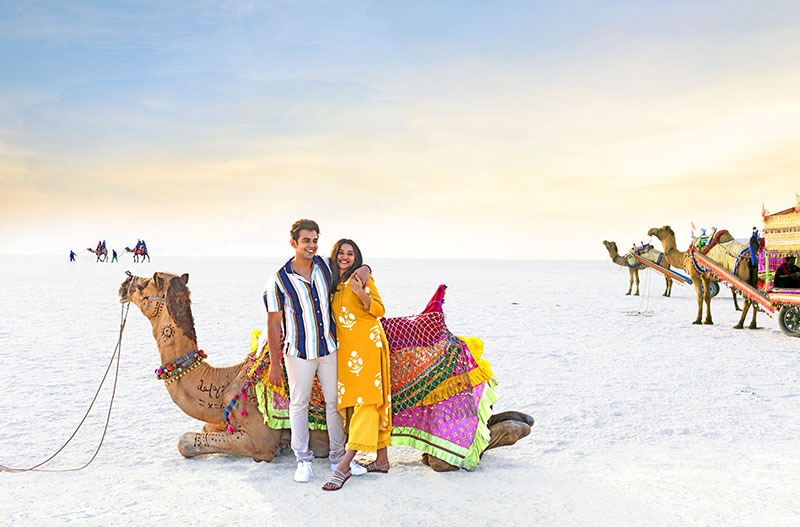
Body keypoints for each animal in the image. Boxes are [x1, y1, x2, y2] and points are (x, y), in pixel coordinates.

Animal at [119, 271, 533, 470]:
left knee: (459, 451)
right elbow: (200, 428)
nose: (124, 282)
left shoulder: (258, 439)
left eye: (145, 283)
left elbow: (187, 441)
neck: (223, 384)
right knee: (503, 421)